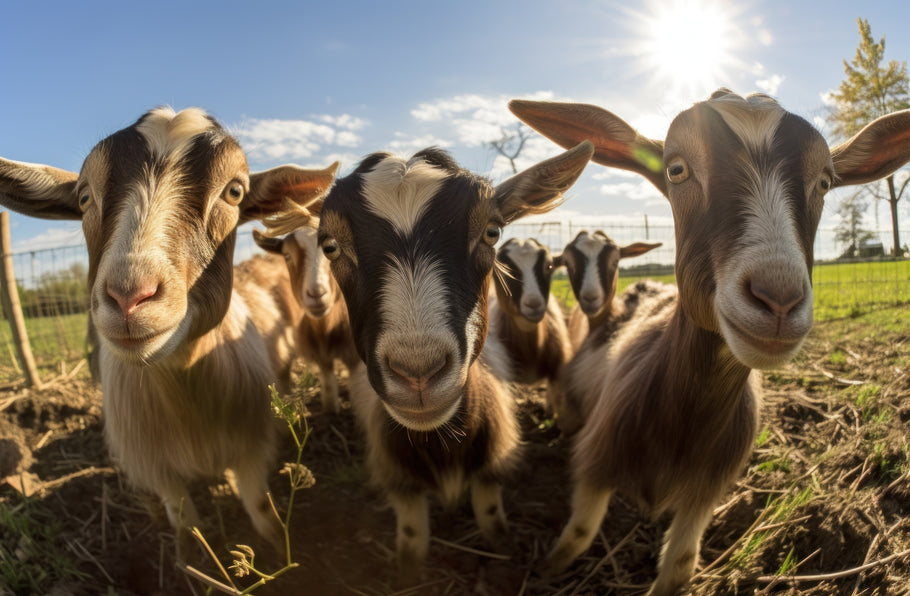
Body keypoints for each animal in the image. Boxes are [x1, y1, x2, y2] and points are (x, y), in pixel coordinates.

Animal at [0, 108, 338, 548]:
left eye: (235, 191)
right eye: (84, 197)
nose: (129, 296)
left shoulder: (250, 449)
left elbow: (262, 513)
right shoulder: (159, 471)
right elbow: (188, 532)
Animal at [255, 224, 362, 414]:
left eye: (332, 249)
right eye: (287, 255)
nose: (316, 294)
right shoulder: (319, 354)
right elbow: (328, 382)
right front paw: (331, 409)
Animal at [312, 141, 600, 576]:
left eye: (492, 231)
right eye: (329, 245)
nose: (418, 371)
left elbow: (490, 510)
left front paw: (502, 547)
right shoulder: (399, 476)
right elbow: (412, 532)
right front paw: (408, 569)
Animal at [512, 89, 910, 596]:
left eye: (824, 181)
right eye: (675, 169)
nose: (778, 298)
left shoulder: (706, 489)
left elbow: (681, 565)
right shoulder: (597, 459)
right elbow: (580, 532)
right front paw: (544, 570)